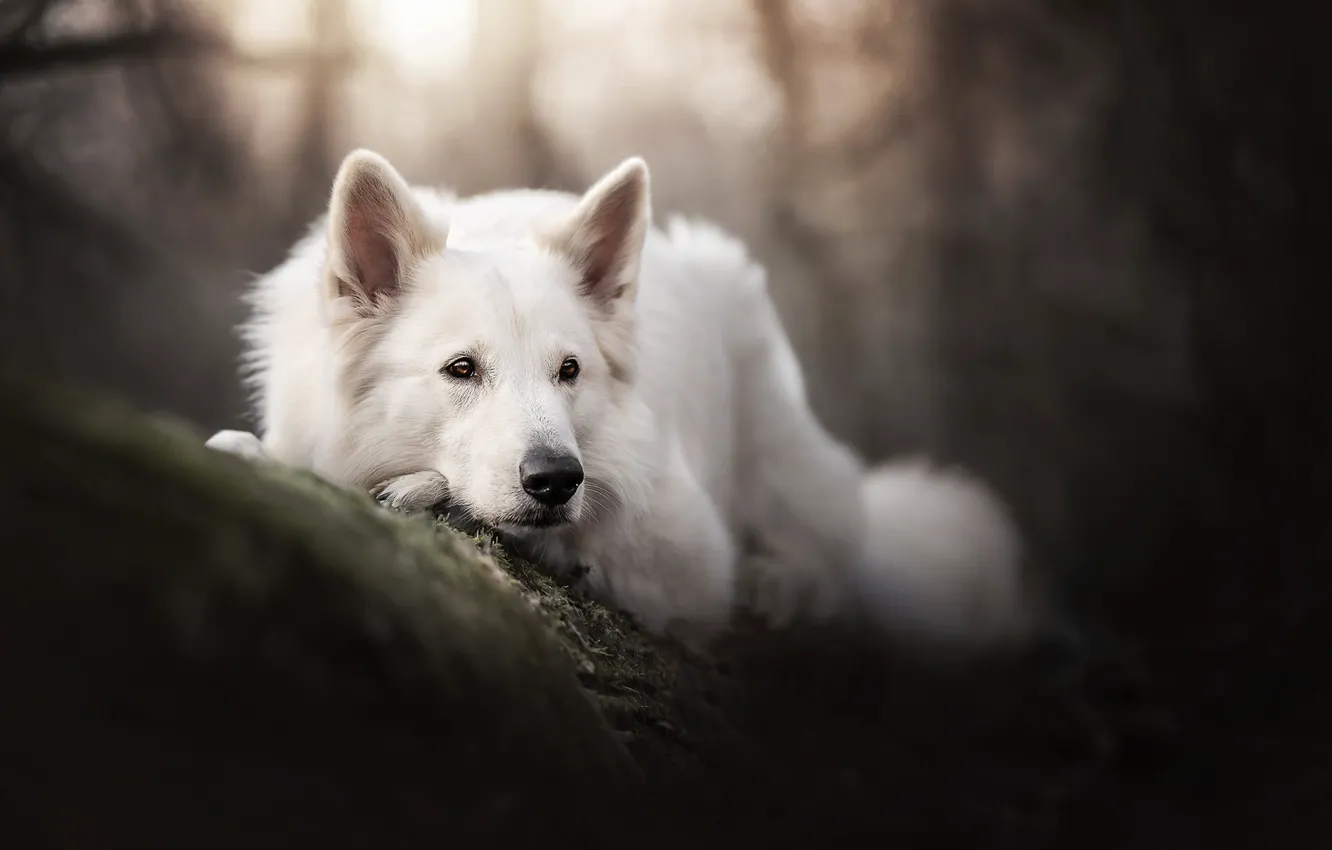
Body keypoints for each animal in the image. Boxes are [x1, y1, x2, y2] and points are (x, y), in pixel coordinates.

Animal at [207, 147, 1033, 652]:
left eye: (569, 371)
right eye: (461, 369)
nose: (555, 480)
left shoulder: (685, 553)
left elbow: (588, 539)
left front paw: (428, 493)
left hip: (779, 446)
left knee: (830, 549)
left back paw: (781, 578)